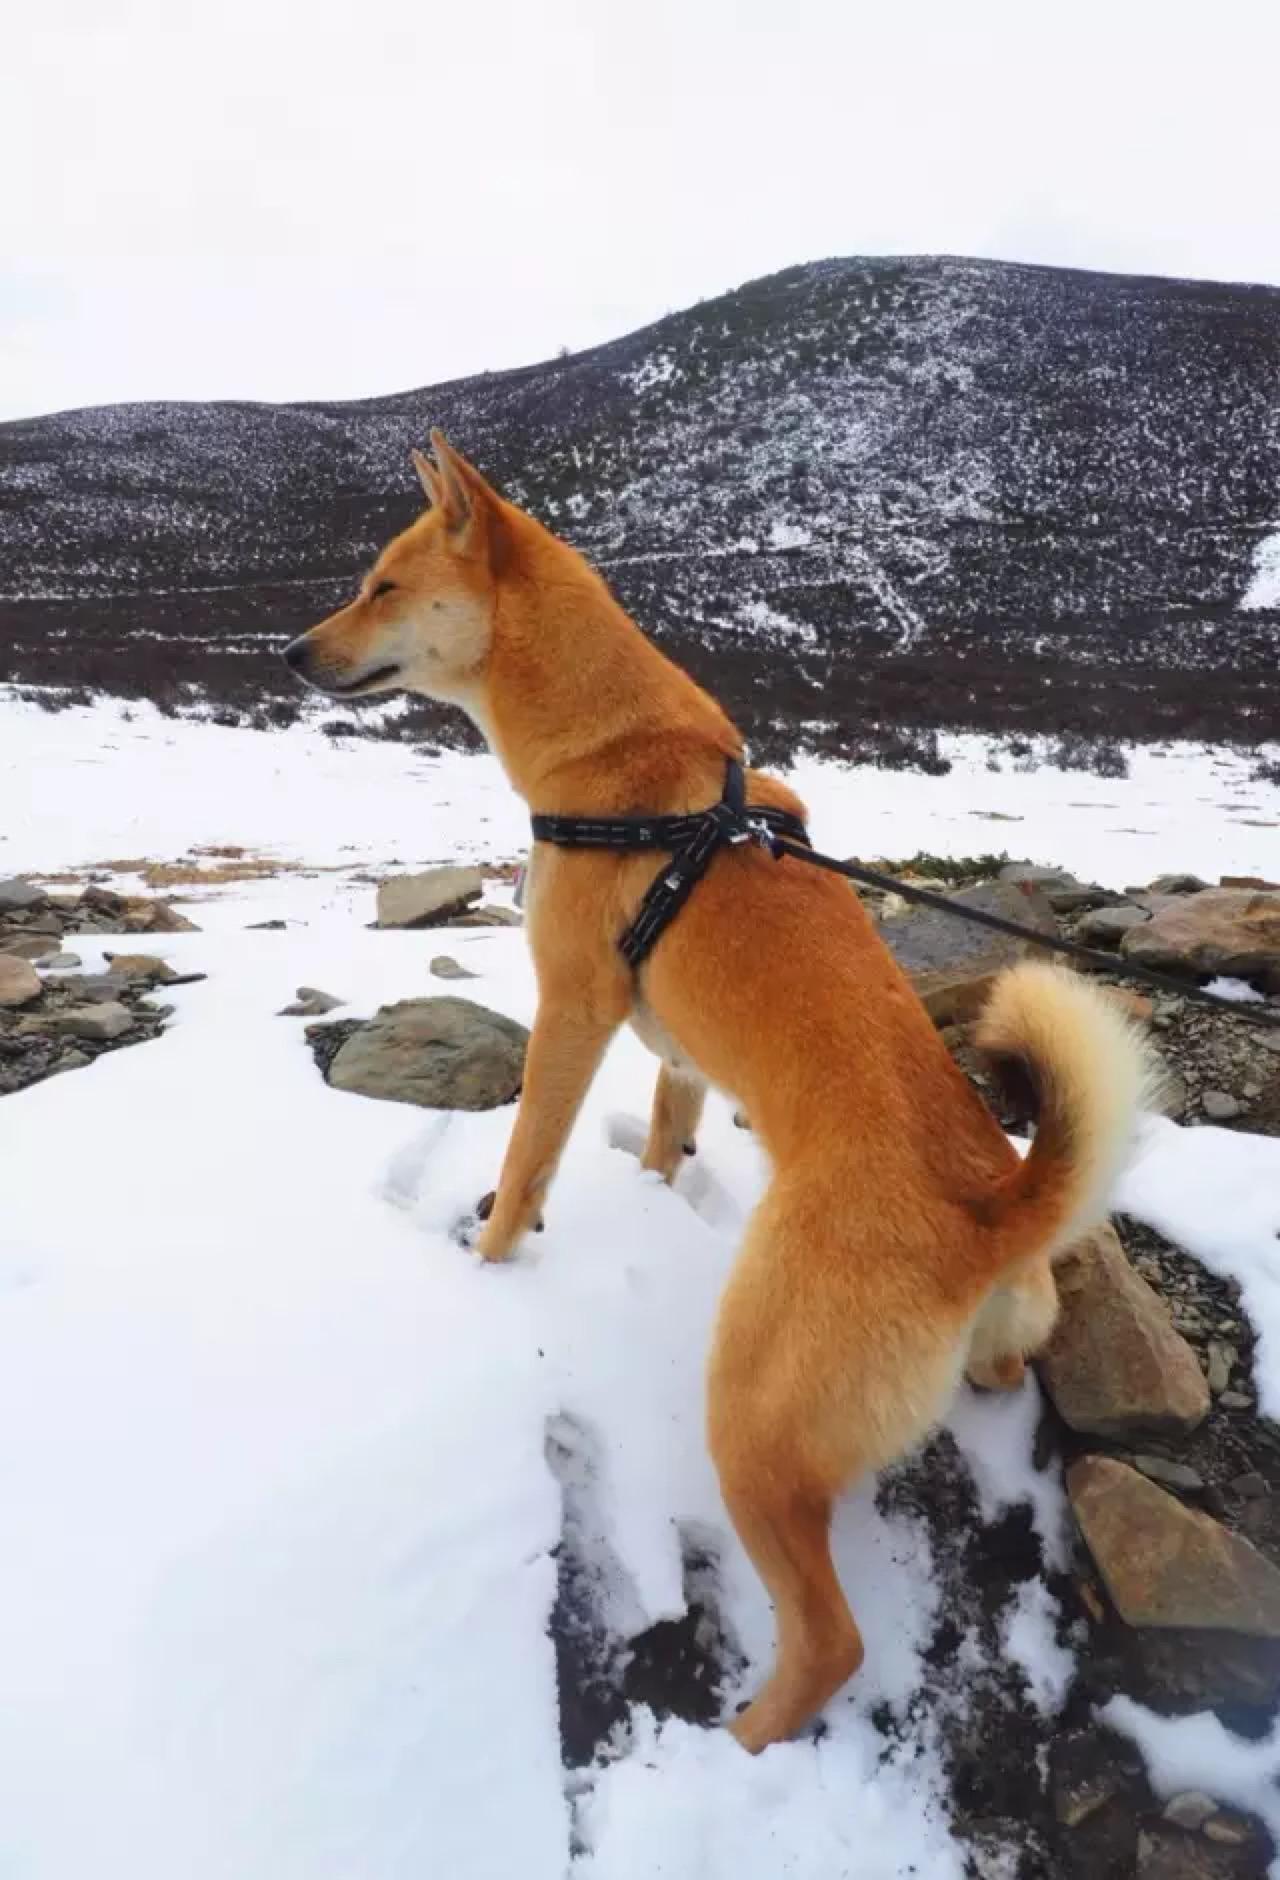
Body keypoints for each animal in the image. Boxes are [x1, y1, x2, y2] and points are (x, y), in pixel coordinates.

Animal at [283, 432, 1150, 1752]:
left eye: (381, 585)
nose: (290, 653)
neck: (611, 752)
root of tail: (989, 1211)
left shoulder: (574, 1008)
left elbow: (525, 1159)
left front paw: (485, 1264)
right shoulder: (676, 1055)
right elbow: (662, 1138)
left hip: (750, 1422)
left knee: (831, 1640)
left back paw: (738, 1744)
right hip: (971, 1353)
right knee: (996, 1388)